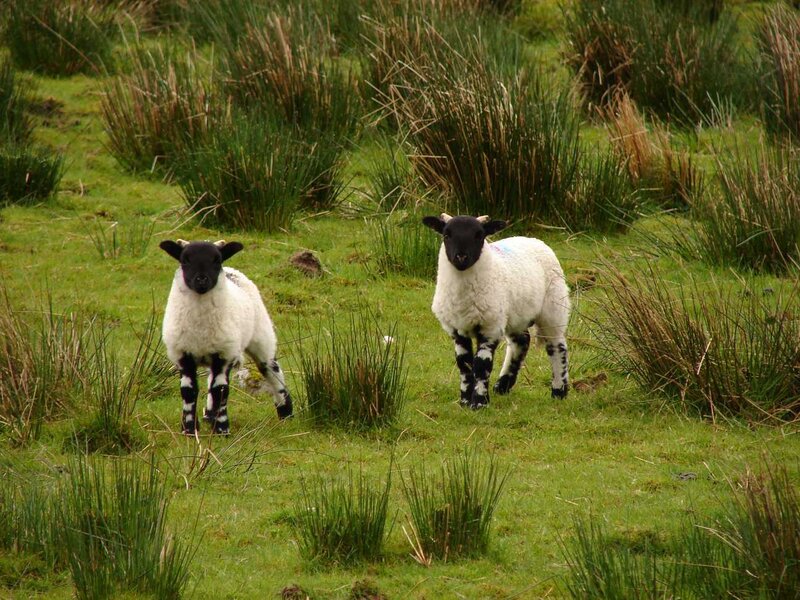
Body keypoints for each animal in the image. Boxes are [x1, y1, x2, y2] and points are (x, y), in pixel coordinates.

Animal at [160, 239, 292, 435]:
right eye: (185, 260)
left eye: (217, 260)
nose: (201, 280)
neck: (200, 328)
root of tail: (232, 270)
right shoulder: (182, 355)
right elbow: (189, 391)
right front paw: (189, 430)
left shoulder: (224, 354)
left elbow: (220, 390)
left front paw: (222, 430)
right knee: (210, 379)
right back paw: (209, 415)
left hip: (261, 338)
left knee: (272, 371)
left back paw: (286, 412)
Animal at [421, 214, 570, 409]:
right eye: (447, 235)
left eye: (479, 235)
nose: (461, 257)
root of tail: (533, 239)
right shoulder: (456, 329)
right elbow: (464, 363)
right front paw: (464, 400)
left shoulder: (490, 326)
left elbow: (481, 365)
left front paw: (479, 402)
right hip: (516, 314)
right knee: (521, 341)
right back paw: (502, 385)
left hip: (553, 306)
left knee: (557, 346)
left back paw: (559, 391)